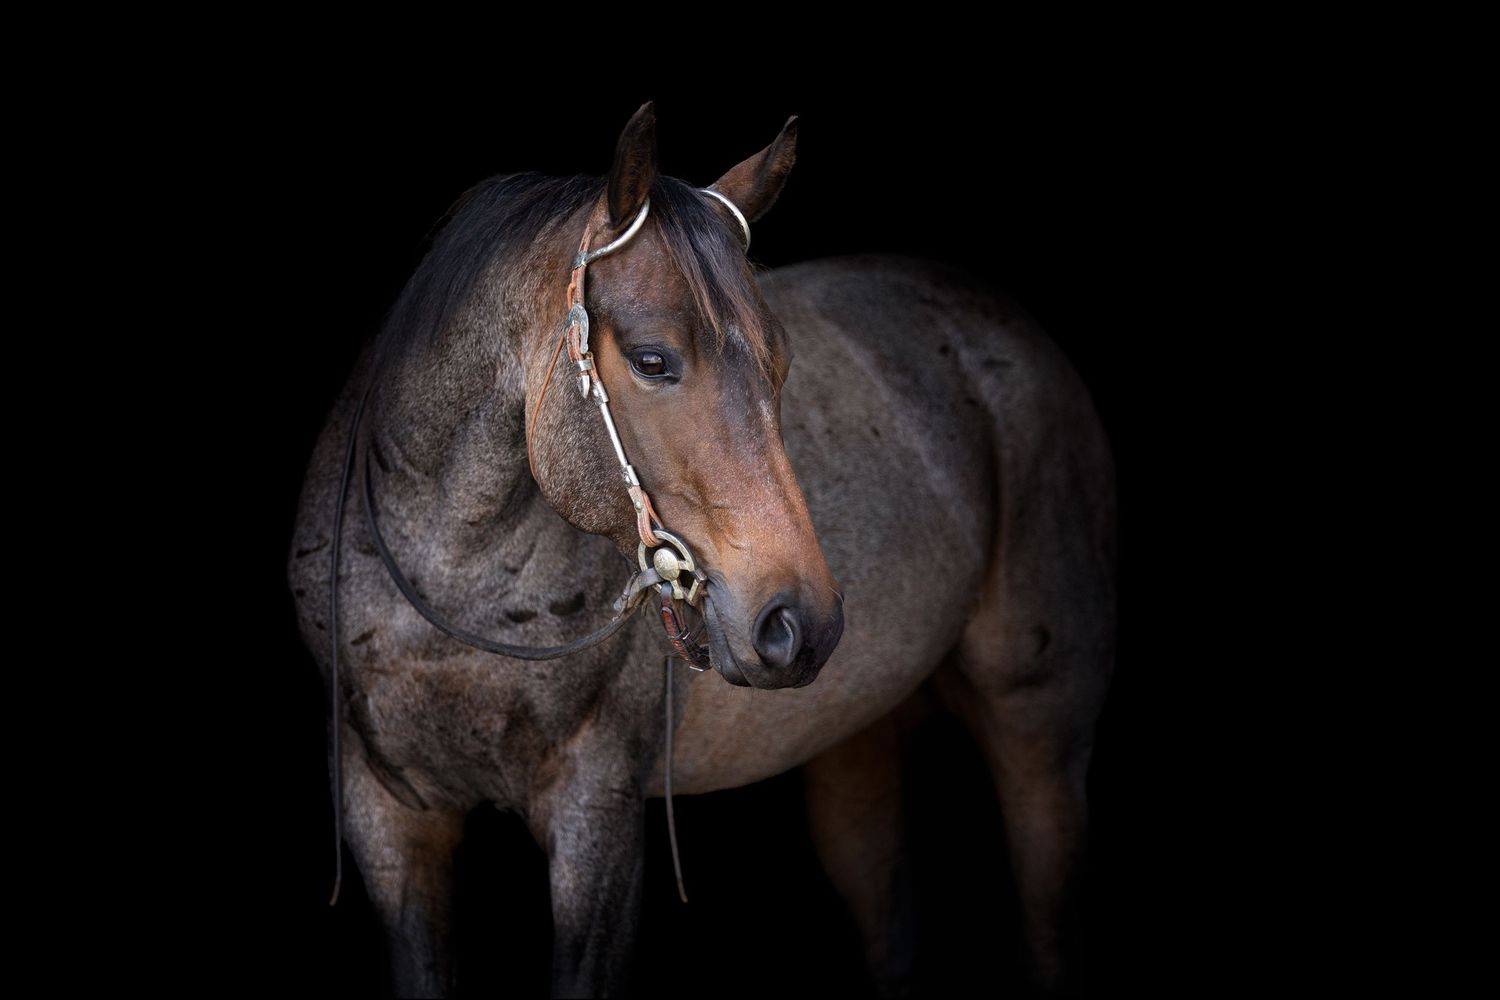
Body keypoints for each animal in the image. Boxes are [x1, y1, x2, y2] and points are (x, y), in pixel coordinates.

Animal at [287, 102, 1116, 997]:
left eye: (781, 364)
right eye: (653, 360)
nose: (800, 623)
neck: (449, 591)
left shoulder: (598, 816)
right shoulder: (389, 820)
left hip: (1038, 731)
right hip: (853, 737)